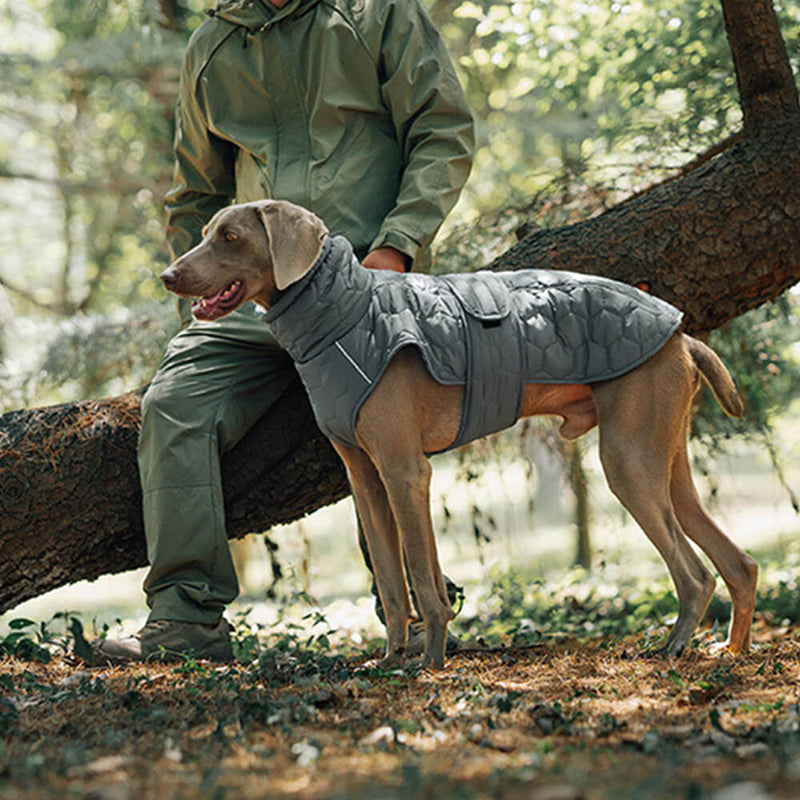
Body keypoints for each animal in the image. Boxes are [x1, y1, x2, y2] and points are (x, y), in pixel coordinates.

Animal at [161, 198, 756, 668]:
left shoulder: (406, 472)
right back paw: (730, 651)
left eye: (231, 237)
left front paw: (428, 662)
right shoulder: (368, 482)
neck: (345, 314)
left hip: (628, 461)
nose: (168, 275)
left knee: (695, 574)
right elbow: (394, 583)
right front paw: (391, 659)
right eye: (204, 232)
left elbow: (423, 581)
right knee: (738, 564)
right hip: (663, 461)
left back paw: (674, 647)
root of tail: (683, 337)